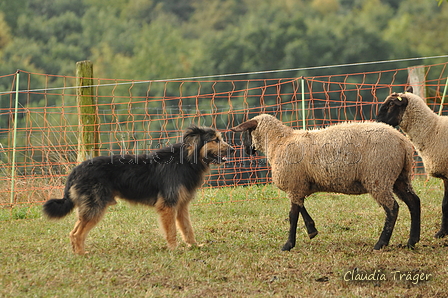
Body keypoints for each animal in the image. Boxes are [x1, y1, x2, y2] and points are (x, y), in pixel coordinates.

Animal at [43, 125, 234, 254]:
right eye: (215, 140)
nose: (233, 149)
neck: (186, 159)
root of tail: (76, 170)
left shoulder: (181, 206)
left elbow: (187, 228)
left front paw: (194, 246)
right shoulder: (168, 206)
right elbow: (172, 231)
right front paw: (174, 249)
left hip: (89, 207)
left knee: (74, 232)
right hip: (95, 206)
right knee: (77, 234)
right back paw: (82, 255)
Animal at [231, 115, 420, 250]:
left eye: (246, 133)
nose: (245, 150)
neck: (278, 142)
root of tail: (404, 143)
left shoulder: (294, 185)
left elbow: (292, 216)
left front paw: (288, 245)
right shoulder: (300, 185)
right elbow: (300, 208)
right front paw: (312, 230)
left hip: (378, 177)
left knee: (392, 208)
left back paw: (381, 243)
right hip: (399, 177)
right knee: (414, 202)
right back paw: (412, 241)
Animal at [378, 86, 448, 237]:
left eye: (391, 104)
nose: (377, 121)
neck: (433, 130)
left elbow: (445, 204)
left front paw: (441, 233)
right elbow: (445, 204)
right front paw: (442, 232)